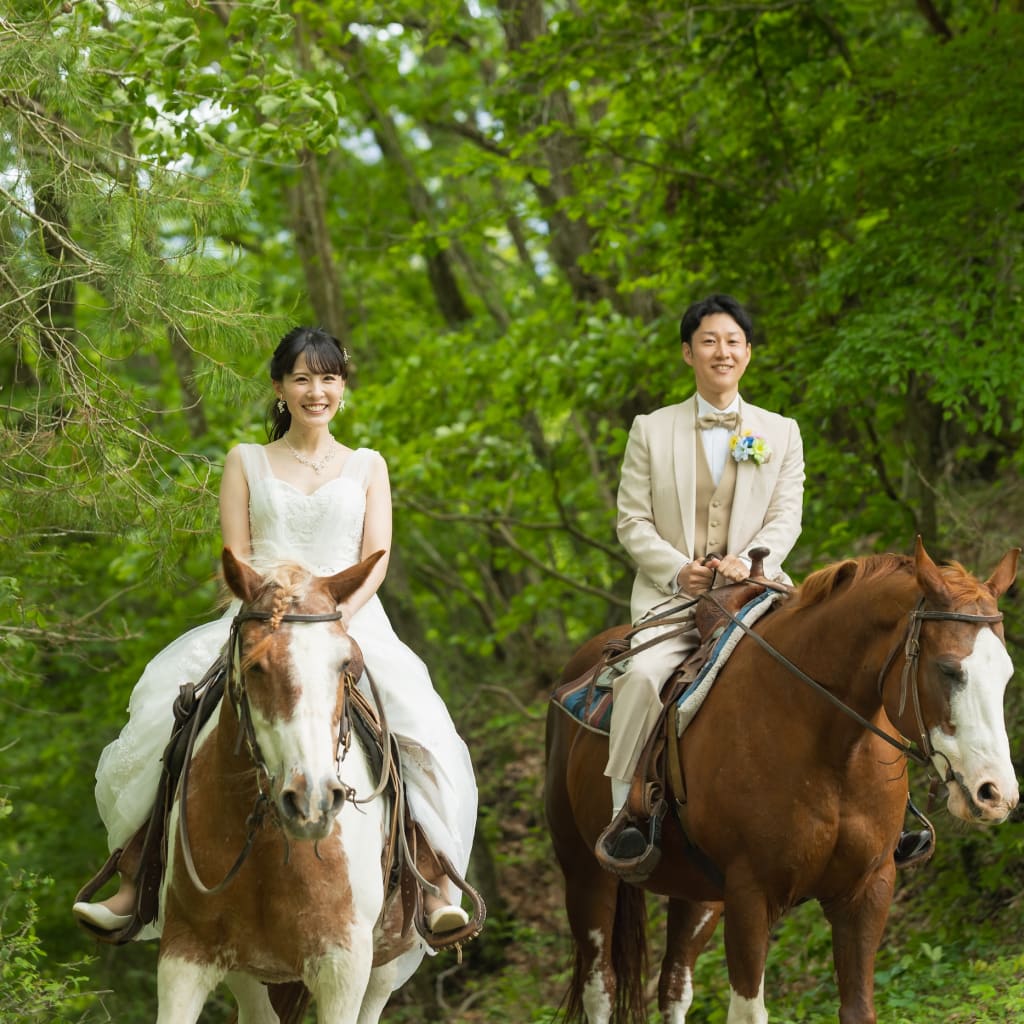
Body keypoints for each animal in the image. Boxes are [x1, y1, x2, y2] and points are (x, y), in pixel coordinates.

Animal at [156, 548, 423, 1024]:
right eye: (255, 665)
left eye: (345, 664)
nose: (312, 801)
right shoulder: (184, 953)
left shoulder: (343, 964)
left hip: (383, 966)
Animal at [545, 538, 1020, 1024]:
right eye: (948, 669)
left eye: (1006, 673)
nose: (995, 794)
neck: (829, 749)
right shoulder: (750, 897)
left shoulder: (867, 891)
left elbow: (858, 1008)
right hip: (586, 875)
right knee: (600, 987)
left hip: (698, 896)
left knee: (674, 984)